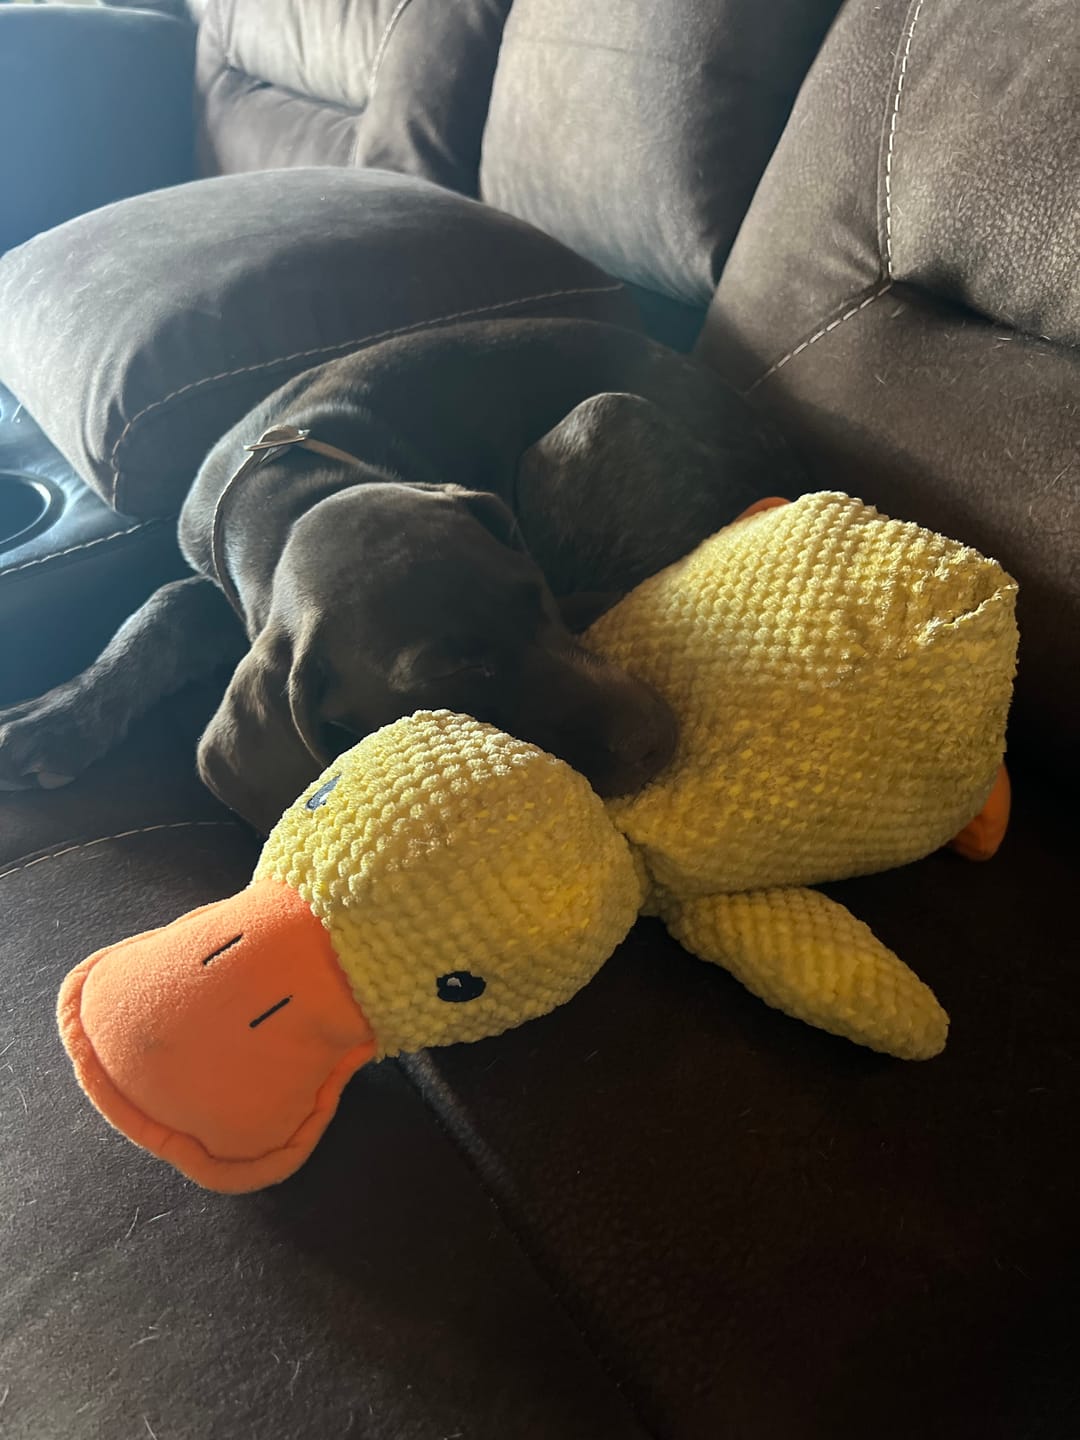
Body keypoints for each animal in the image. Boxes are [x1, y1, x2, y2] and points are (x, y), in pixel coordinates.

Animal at [0, 315, 794, 835]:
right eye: (452, 675)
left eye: (535, 597)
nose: (658, 740)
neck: (292, 496)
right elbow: (159, 608)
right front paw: (62, 716)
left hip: (599, 420)